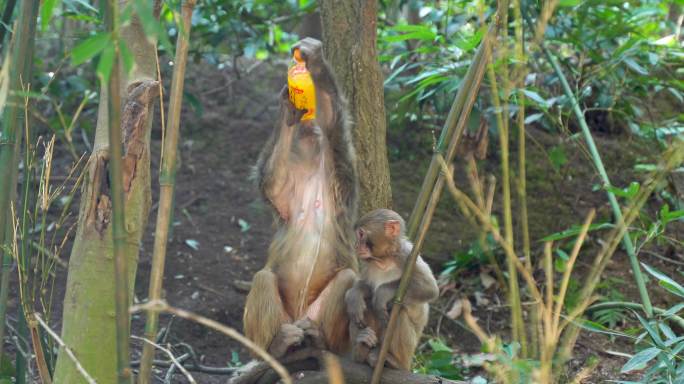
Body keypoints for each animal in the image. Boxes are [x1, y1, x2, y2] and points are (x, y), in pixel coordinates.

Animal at [247, 37, 364, 358]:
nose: (308, 128)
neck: (313, 183)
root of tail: (298, 318)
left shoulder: (341, 184)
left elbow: (334, 124)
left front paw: (316, 64)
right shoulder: (287, 197)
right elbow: (272, 183)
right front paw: (288, 110)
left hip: (315, 317)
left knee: (347, 279)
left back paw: (322, 342)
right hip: (284, 319)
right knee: (264, 278)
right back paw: (273, 348)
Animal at [344, 208, 440, 370]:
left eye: (361, 234)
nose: (356, 245)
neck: (385, 259)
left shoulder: (407, 255)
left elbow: (429, 289)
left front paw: (383, 293)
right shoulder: (367, 263)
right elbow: (366, 286)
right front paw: (355, 295)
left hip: (408, 353)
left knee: (399, 311)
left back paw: (393, 361)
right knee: (366, 305)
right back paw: (361, 347)